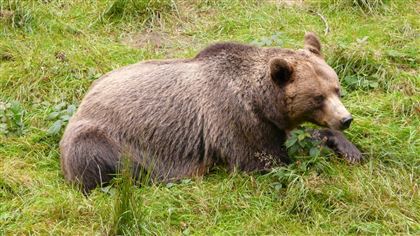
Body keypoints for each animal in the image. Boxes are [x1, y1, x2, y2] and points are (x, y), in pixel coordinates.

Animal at [59, 32, 360, 193]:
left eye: (336, 89)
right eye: (317, 97)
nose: (345, 119)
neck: (261, 101)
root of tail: (83, 100)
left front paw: (349, 149)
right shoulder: (235, 119)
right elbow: (265, 160)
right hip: (102, 137)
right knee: (111, 163)